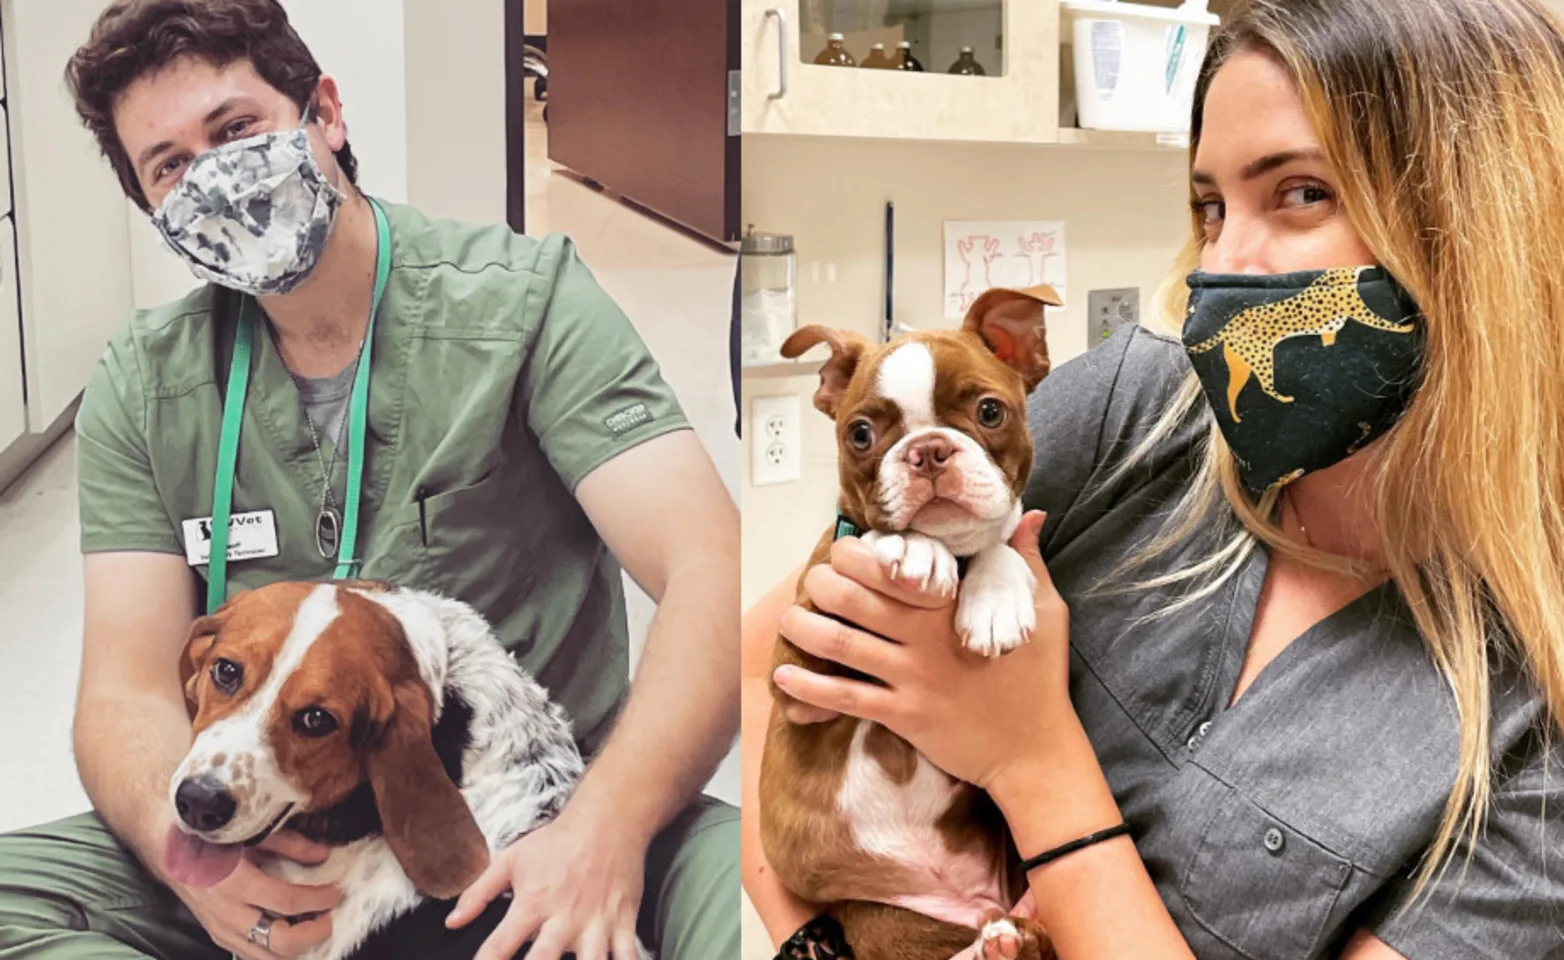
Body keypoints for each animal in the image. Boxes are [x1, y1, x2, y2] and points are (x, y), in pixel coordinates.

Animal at [760, 286, 1063, 960]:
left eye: (989, 411)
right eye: (861, 433)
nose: (928, 450)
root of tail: (982, 906)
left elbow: (1000, 544)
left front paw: (994, 599)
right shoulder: (795, 676)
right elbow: (870, 542)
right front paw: (913, 549)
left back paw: (1011, 941)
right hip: (886, 919)